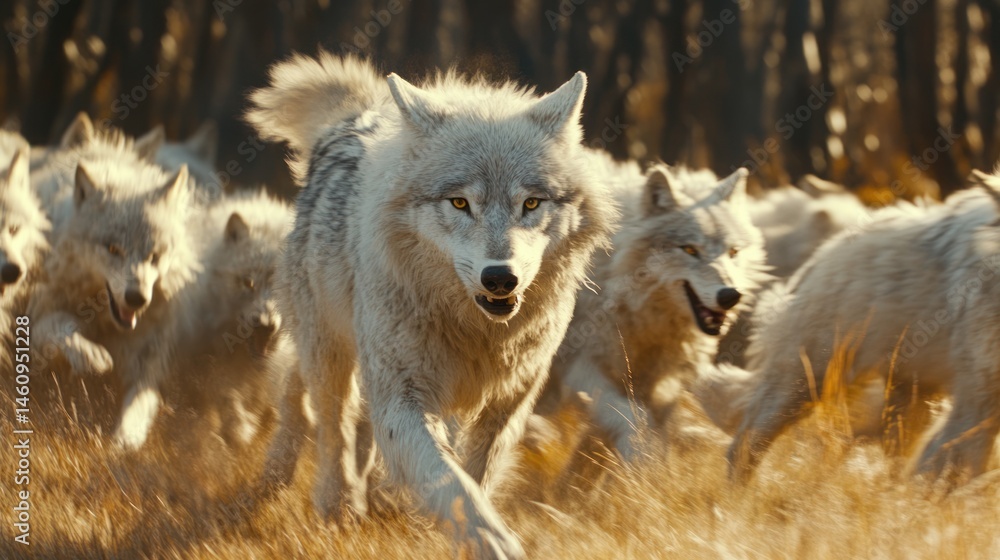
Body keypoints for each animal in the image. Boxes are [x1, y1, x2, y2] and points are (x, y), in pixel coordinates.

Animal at [29, 121, 196, 448]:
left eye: (153, 256)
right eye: (112, 249)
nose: (137, 298)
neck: (104, 323)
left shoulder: (147, 363)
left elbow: (139, 406)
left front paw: (125, 443)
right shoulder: (35, 319)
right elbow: (61, 326)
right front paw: (90, 356)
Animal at [246, 52, 615, 558]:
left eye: (530, 203)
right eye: (459, 203)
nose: (500, 277)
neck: (476, 330)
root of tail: (356, 116)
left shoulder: (506, 403)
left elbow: (473, 476)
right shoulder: (403, 398)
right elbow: (450, 483)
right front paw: (491, 541)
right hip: (331, 354)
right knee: (328, 426)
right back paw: (331, 503)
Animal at [548, 163, 767, 460]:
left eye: (732, 252)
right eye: (690, 249)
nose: (730, 296)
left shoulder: (660, 386)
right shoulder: (582, 367)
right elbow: (631, 419)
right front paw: (642, 457)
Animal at [726, 173, 1000, 484]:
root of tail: (818, 258)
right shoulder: (978, 398)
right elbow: (964, 459)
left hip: (908, 395)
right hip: (801, 385)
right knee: (744, 443)